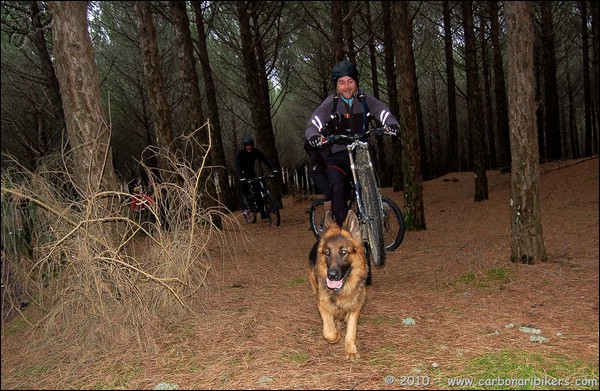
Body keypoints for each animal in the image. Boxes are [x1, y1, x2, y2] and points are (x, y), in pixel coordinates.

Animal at [310, 211, 370, 362]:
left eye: (344, 252)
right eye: (327, 253)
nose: (331, 275)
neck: (341, 291)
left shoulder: (355, 308)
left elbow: (351, 332)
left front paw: (351, 350)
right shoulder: (322, 304)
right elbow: (328, 331)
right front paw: (335, 335)